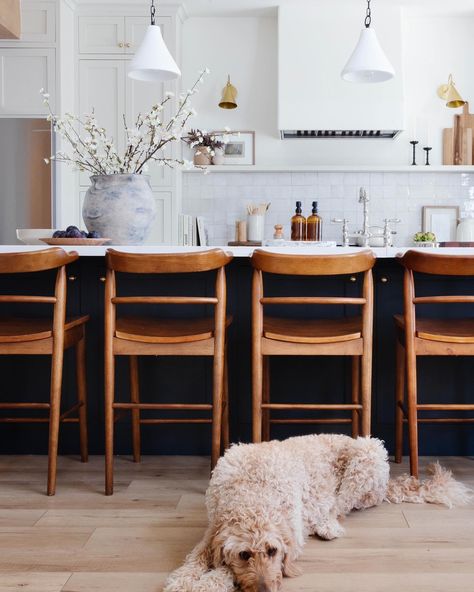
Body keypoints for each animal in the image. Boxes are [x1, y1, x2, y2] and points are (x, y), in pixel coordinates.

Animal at [164, 432, 470, 588]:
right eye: (244, 555)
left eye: (273, 551)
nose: (265, 589)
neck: (252, 491)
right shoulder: (212, 527)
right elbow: (197, 555)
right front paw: (183, 579)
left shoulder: (292, 533)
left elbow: (222, 569)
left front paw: (209, 582)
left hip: (366, 456)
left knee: (340, 506)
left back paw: (326, 525)